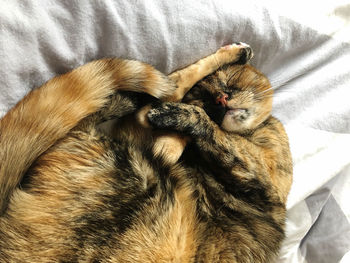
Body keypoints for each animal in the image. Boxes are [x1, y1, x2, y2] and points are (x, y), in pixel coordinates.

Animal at [0, 42, 292, 262]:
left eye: (229, 80)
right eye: (207, 95)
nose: (220, 100)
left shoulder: (260, 176)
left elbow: (206, 128)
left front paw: (177, 119)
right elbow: (193, 112)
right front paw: (175, 120)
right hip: (142, 176)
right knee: (166, 85)